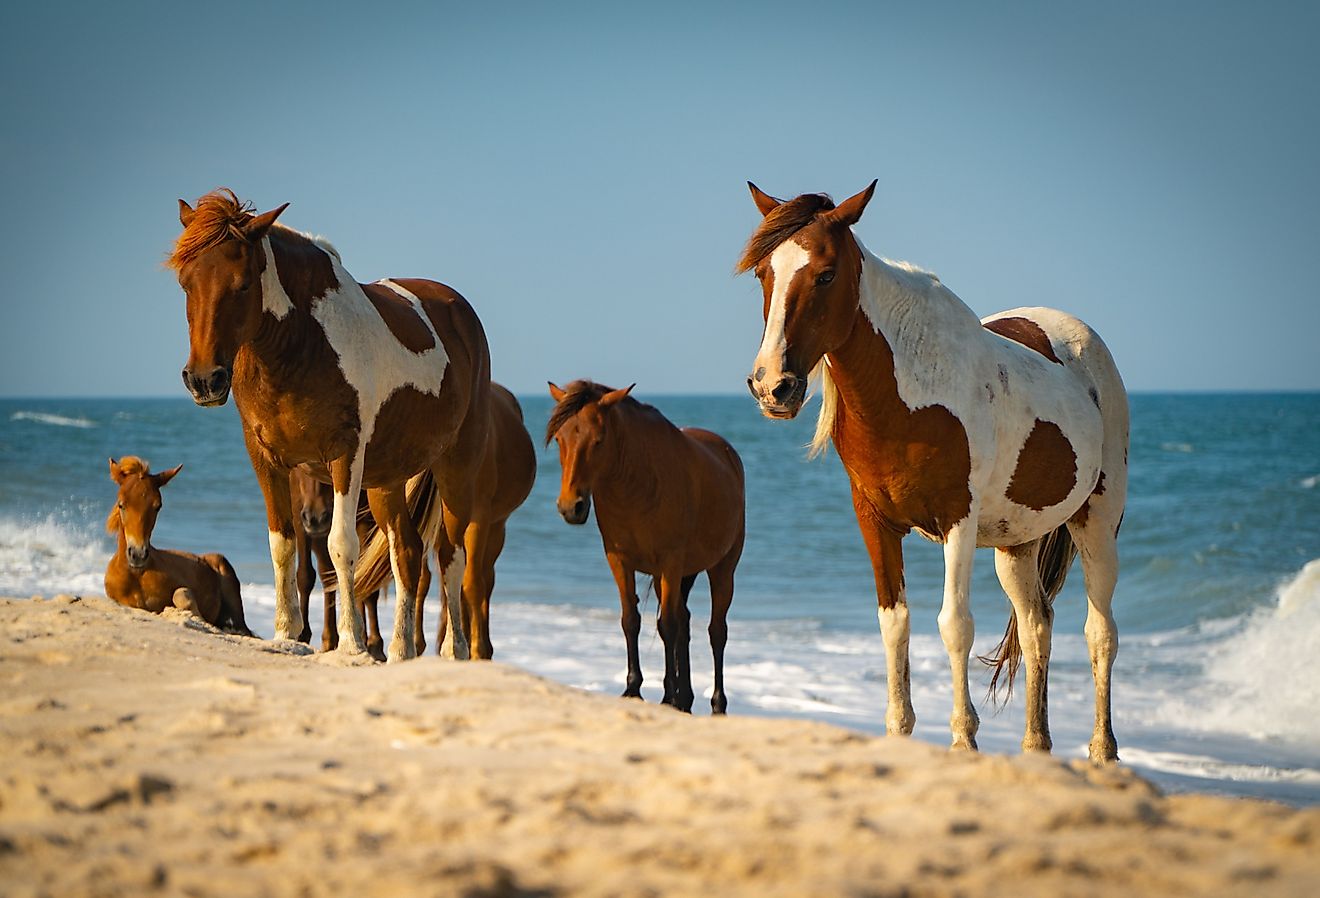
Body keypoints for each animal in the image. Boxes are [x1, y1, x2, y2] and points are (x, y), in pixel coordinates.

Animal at [170, 188, 491, 662]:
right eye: (185, 283)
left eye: (242, 283)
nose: (204, 380)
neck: (302, 344)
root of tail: (459, 310)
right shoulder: (266, 459)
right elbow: (283, 544)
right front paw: (286, 634)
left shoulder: (345, 456)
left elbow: (342, 546)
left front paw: (351, 644)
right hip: (387, 480)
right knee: (407, 552)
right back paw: (400, 652)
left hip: (456, 468)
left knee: (451, 555)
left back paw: (454, 650)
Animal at [414, 380, 533, 660]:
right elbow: (424, 579)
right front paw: (416, 643)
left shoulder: (478, 520)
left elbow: (472, 584)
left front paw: (478, 649)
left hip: (493, 527)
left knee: (480, 580)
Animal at [546, 380, 749, 713]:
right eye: (560, 439)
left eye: (598, 440)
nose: (570, 507)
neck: (636, 483)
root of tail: (728, 453)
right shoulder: (619, 561)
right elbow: (632, 620)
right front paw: (635, 689)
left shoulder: (669, 563)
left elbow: (666, 626)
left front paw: (666, 695)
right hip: (682, 574)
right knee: (685, 622)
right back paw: (685, 698)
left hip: (721, 570)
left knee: (716, 632)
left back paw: (716, 703)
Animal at [739, 182, 1129, 765]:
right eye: (764, 272)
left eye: (826, 274)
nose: (772, 386)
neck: (909, 393)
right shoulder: (873, 521)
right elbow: (894, 622)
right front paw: (899, 729)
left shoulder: (956, 521)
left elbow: (954, 626)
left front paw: (963, 737)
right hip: (1016, 543)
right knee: (1037, 627)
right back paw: (1035, 746)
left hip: (1097, 521)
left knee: (1100, 630)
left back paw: (1103, 750)